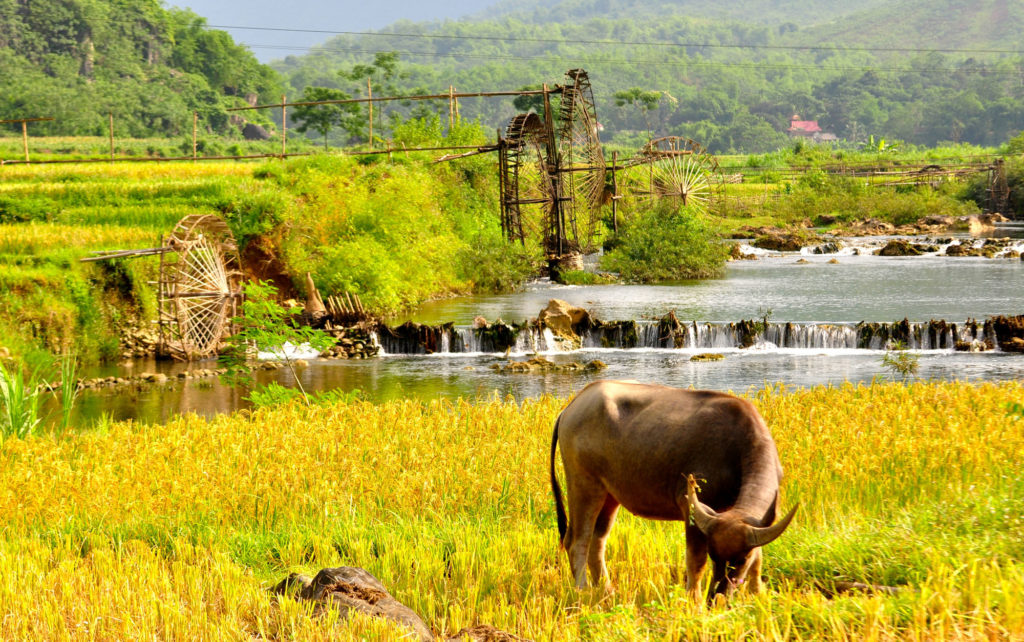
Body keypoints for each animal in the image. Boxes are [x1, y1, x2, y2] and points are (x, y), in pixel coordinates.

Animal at [548, 378, 794, 602]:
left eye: (741, 559)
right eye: (714, 555)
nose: (716, 596)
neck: (737, 449)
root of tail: (571, 407)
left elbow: (758, 558)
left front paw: (758, 594)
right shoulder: (692, 510)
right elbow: (696, 562)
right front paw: (695, 602)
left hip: (609, 495)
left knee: (597, 542)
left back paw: (608, 592)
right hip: (584, 485)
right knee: (577, 541)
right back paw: (582, 592)